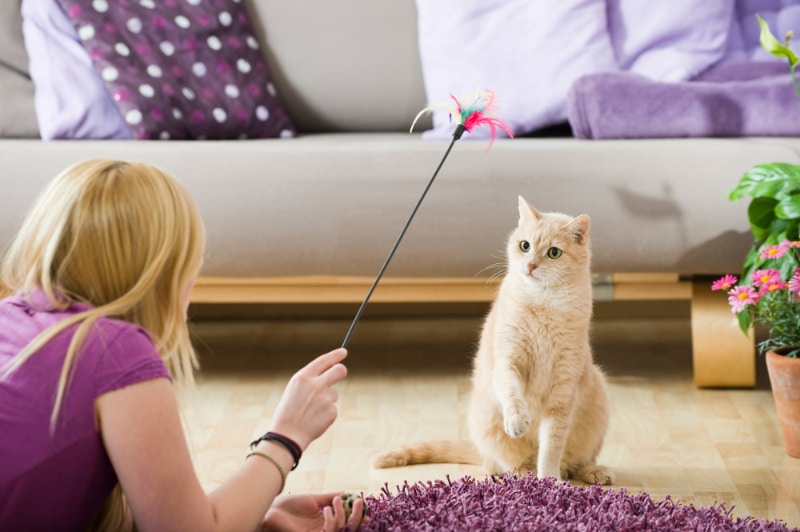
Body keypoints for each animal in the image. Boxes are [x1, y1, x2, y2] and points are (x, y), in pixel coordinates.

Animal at [372, 196, 616, 486]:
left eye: (554, 252)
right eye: (525, 246)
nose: (531, 266)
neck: (543, 304)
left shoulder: (564, 387)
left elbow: (551, 445)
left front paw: (550, 479)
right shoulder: (508, 362)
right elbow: (512, 393)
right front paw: (518, 421)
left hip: (598, 398)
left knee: (578, 461)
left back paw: (592, 471)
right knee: (500, 465)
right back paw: (524, 471)